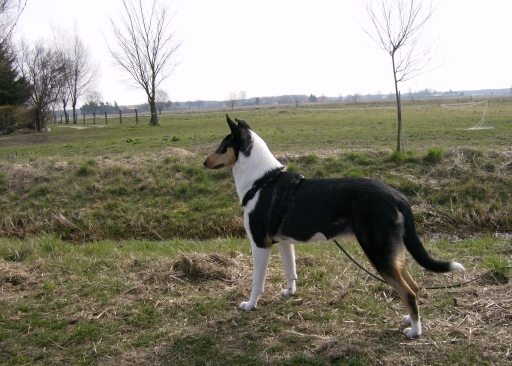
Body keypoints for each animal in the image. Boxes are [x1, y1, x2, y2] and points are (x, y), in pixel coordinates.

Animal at [203, 114, 464, 338]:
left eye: (221, 146)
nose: (204, 162)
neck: (261, 181)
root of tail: (397, 195)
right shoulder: (283, 242)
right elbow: (290, 271)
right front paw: (289, 293)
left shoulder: (259, 243)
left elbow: (257, 282)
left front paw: (250, 305)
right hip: (391, 252)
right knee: (414, 287)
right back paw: (410, 320)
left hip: (377, 250)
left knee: (407, 291)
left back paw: (415, 332)